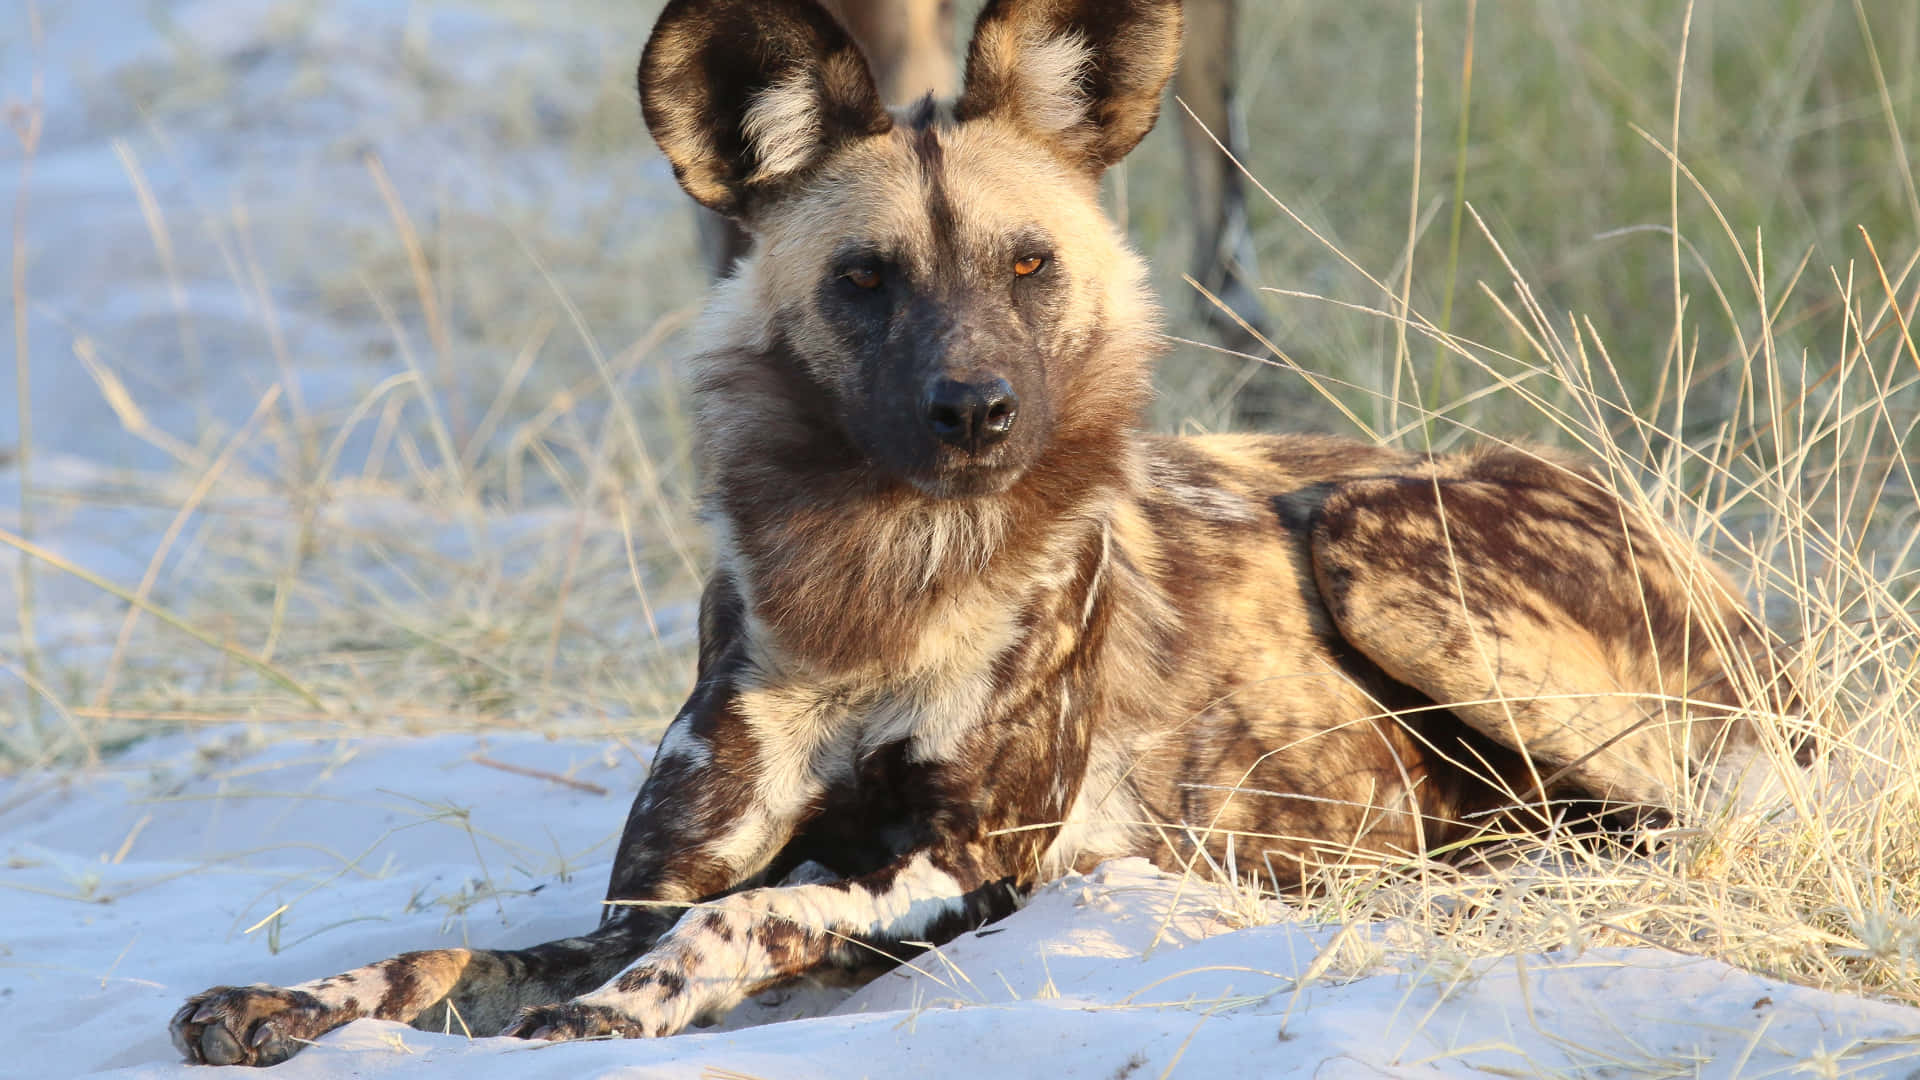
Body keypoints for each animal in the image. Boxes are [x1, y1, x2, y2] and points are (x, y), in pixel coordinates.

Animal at [168, 0, 1797, 1060]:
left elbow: (746, 923)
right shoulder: (643, 892)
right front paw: (289, 1004)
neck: (875, 589)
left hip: (1376, 534)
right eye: (864, 279)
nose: (977, 412)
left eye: (1029, 264)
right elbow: (441, 956)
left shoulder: (967, 868)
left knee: (1686, 822)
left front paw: (616, 1016)